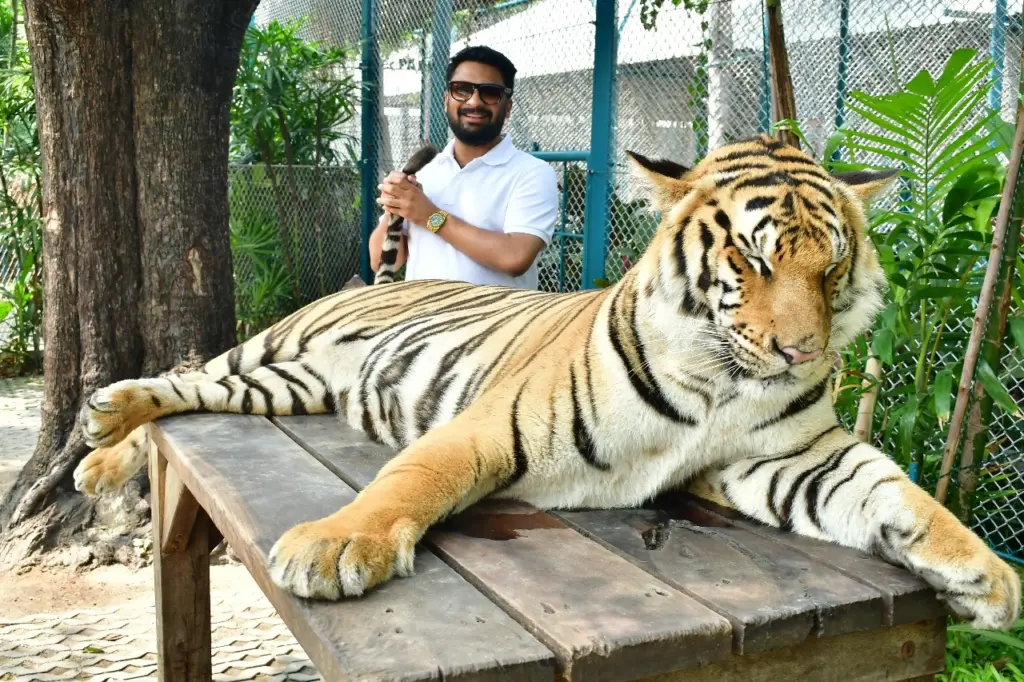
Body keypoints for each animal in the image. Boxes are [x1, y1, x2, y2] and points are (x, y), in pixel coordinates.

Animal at [72, 133, 1020, 630]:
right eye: (753, 261)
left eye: (831, 270)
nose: (802, 354)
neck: (720, 383)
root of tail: (380, 277)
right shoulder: (491, 424)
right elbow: (411, 476)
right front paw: (337, 546)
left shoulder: (791, 456)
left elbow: (894, 492)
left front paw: (985, 576)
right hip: (280, 344)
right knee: (190, 372)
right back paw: (103, 428)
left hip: (291, 383)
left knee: (198, 394)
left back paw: (103, 439)